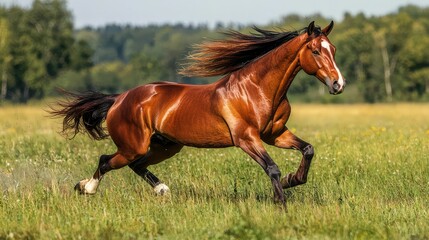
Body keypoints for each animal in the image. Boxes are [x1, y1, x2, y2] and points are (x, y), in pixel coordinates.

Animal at [50, 21, 344, 206]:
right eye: (315, 51)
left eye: (333, 50)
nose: (337, 84)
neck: (257, 89)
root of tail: (119, 98)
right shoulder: (246, 138)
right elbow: (271, 167)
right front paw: (281, 201)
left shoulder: (275, 134)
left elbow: (307, 150)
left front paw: (293, 180)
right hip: (134, 145)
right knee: (106, 160)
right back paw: (86, 187)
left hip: (166, 146)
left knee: (137, 165)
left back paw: (162, 190)